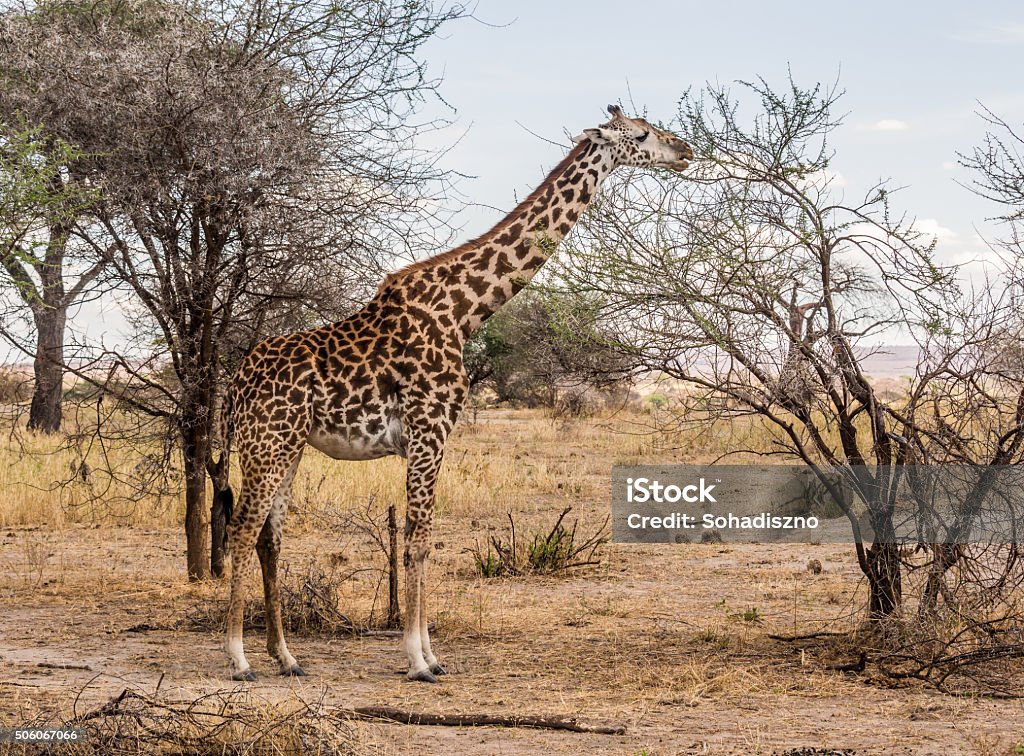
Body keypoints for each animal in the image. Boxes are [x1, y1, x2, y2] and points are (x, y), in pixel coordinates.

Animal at [219, 102, 692, 680]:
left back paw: (286, 656)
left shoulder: (431, 437)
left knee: (270, 537)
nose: (685, 150)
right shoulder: (428, 431)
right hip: (267, 442)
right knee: (243, 528)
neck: (466, 311)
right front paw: (418, 659)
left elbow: (422, 539)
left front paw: (429, 655)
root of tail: (236, 381)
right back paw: (239, 658)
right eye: (642, 134)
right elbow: (419, 538)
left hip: (286, 447)